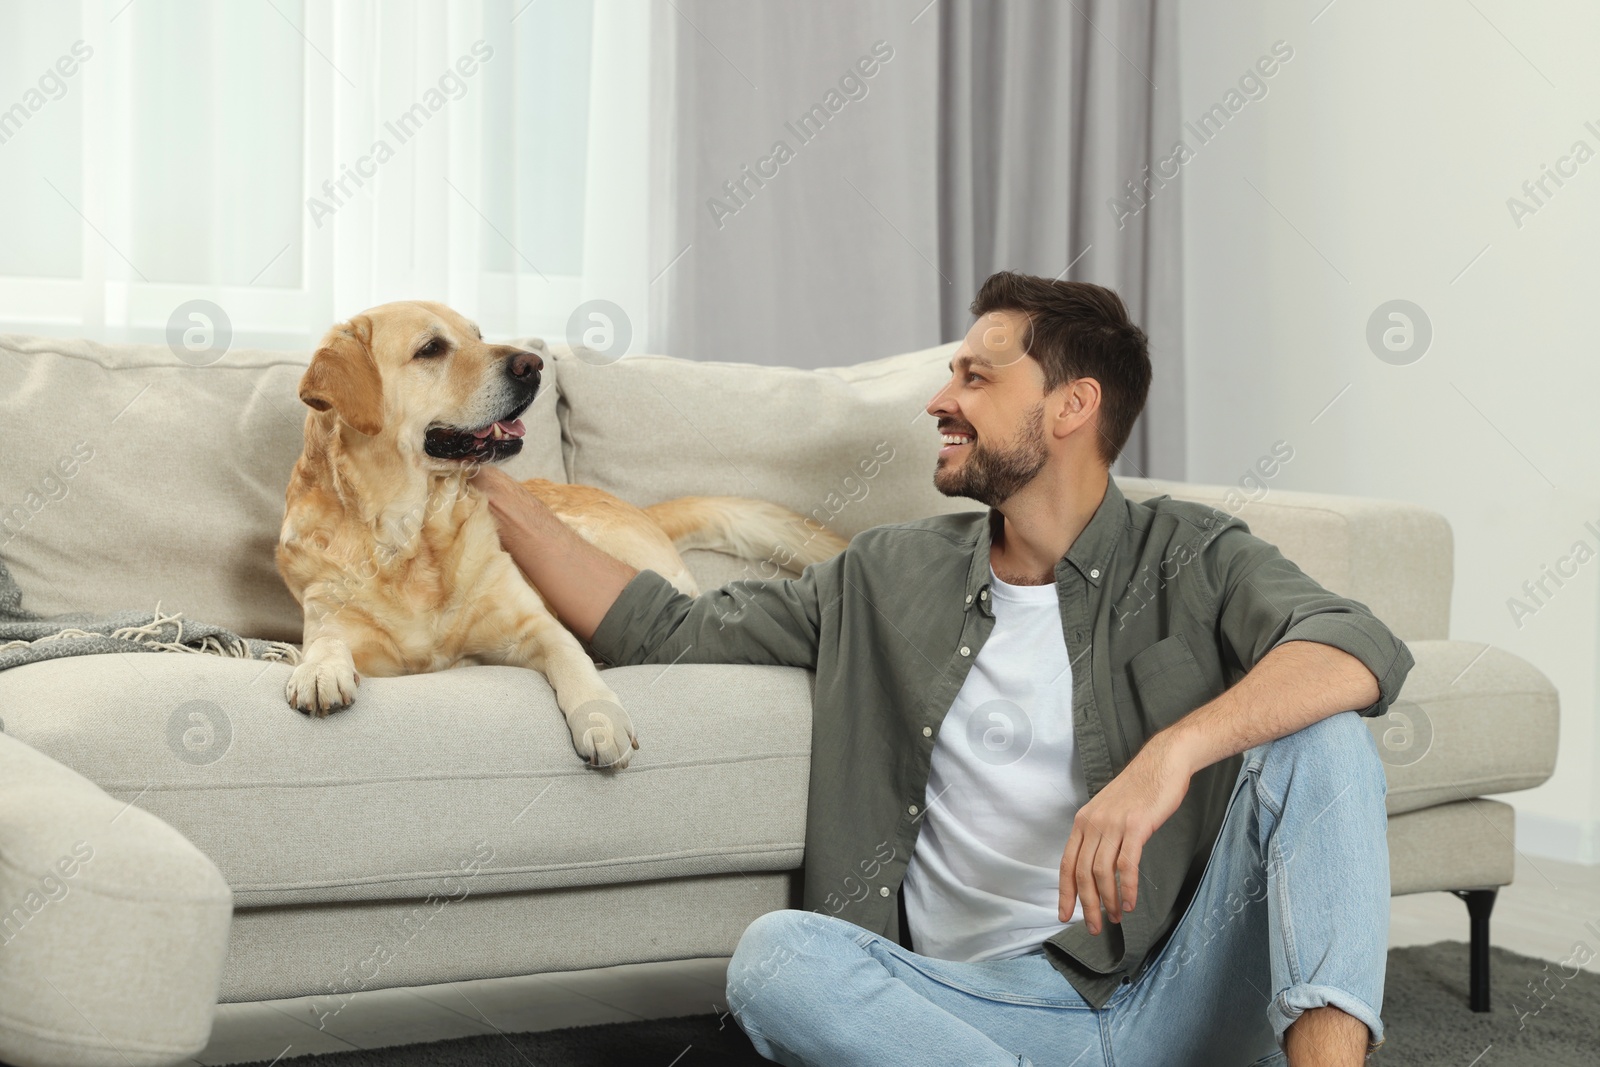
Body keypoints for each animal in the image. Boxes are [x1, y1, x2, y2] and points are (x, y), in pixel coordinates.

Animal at [275, 300, 851, 767]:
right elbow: (325, 639)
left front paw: (602, 720)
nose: (532, 365)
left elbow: (569, 657)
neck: (410, 534)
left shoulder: (533, 626)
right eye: (431, 349)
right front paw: (318, 670)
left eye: (479, 335)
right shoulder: (333, 615)